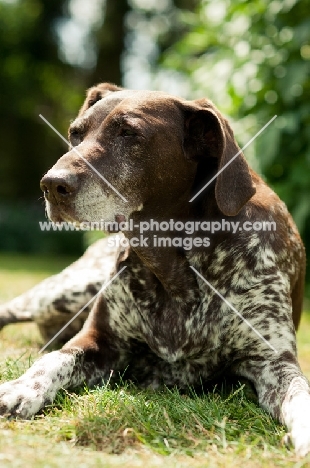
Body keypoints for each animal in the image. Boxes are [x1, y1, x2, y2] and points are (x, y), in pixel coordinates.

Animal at [0, 82, 310, 456]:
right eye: (75, 133)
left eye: (129, 133)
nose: (51, 184)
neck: (173, 267)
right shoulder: (100, 341)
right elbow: (52, 361)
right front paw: (21, 388)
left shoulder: (273, 361)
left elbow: (301, 398)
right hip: (65, 291)